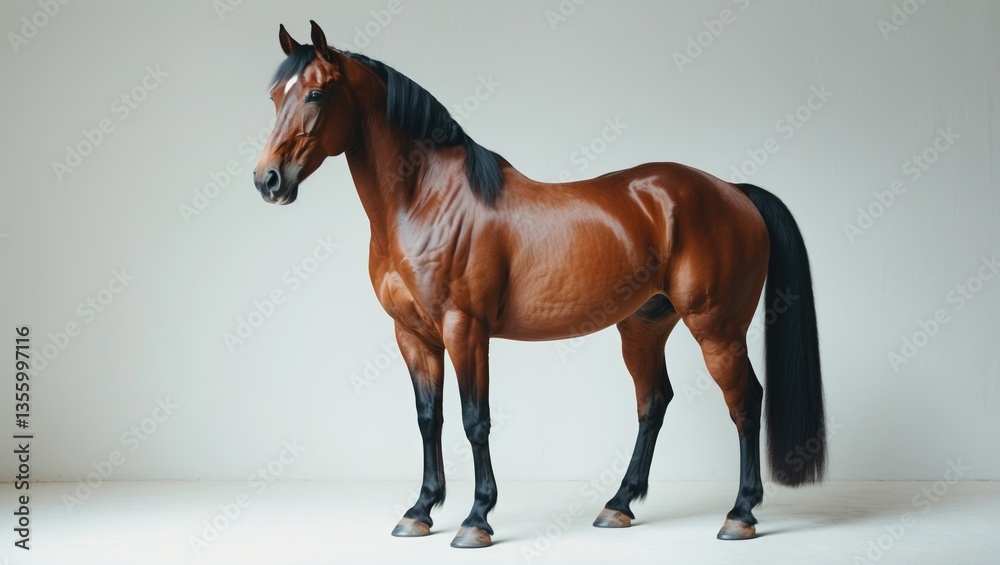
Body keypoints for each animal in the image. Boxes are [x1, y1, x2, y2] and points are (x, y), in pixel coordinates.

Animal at [253, 21, 826, 549]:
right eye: (275, 95)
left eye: (316, 93)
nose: (268, 180)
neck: (426, 199)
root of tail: (734, 190)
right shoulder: (412, 336)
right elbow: (428, 419)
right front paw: (419, 512)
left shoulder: (465, 329)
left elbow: (474, 420)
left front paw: (476, 519)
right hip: (644, 326)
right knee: (653, 402)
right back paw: (619, 505)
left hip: (716, 328)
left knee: (745, 401)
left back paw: (740, 514)